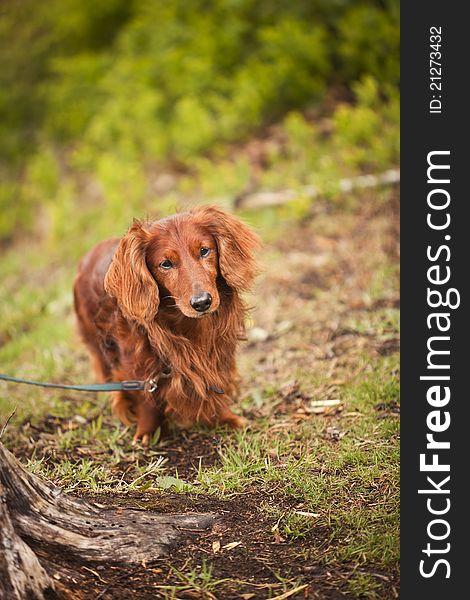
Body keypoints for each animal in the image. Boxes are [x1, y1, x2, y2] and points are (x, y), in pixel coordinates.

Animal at [72, 206, 260, 446]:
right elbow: (146, 399)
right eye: (166, 264)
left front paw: (226, 418)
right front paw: (148, 431)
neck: (186, 325)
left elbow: (216, 381)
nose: (202, 302)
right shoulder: (138, 364)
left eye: (204, 251)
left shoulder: (217, 351)